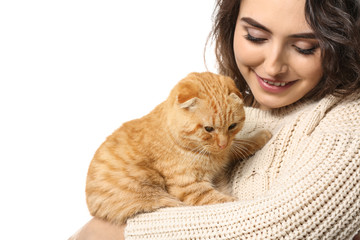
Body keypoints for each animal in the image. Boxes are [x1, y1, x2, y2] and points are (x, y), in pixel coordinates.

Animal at [86, 71, 272, 225]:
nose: (222, 143)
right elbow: (226, 202)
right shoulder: (190, 188)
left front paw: (260, 136)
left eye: (232, 126)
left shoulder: (223, 154)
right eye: (208, 129)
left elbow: (239, 145)